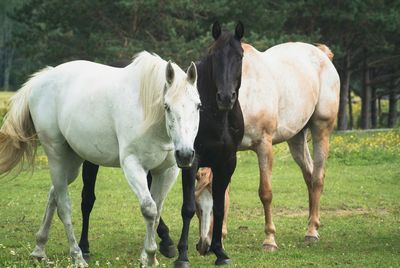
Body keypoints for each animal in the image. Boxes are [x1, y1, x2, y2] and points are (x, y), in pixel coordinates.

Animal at [0, 51, 200, 266]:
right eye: (167, 106)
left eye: (198, 106)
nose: (185, 154)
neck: (148, 114)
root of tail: (42, 79)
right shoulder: (133, 165)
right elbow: (149, 209)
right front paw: (150, 255)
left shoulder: (167, 171)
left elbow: (157, 211)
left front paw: (148, 258)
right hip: (56, 155)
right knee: (64, 206)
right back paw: (77, 256)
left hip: (72, 163)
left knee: (53, 194)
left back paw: (39, 249)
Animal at [76, 22, 242, 266]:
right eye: (214, 55)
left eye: (240, 56)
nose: (226, 97)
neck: (217, 118)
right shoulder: (190, 161)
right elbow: (186, 207)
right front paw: (182, 256)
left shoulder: (226, 163)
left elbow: (221, 207)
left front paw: (220, 252)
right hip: (92, 158)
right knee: (87, 198)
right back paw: (85, 247)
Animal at [195, 42, 340, 253]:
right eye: (197, 207)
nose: (203, 246)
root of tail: (322, 54)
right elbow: (226, 191)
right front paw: (221, 236)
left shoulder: (264, 146)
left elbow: (266, 193)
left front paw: (270, 240)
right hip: (296, 138)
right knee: (309, 175)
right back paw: (312, 223)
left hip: (322, 129)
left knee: (317, 178)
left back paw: (312, 232)